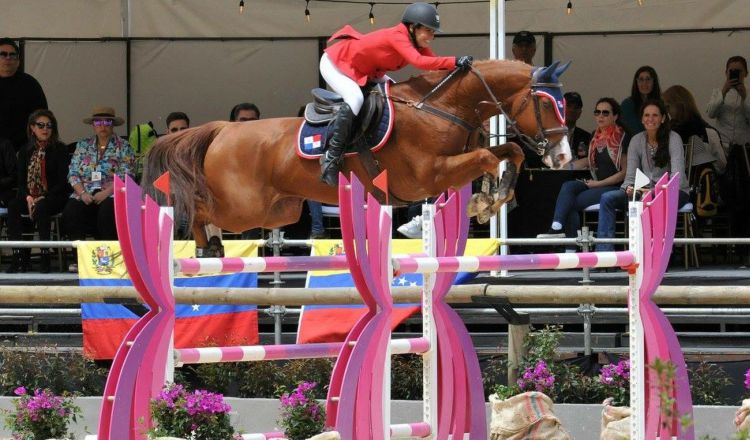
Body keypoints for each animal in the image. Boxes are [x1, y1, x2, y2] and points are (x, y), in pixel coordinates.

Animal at [144, 58, 572, 253]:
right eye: (546, 104)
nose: (564, 156)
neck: (441, 108)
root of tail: (224, 128)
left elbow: (508, 151)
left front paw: (488, 199)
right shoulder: (427, 175)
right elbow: (485, 158)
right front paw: (484, 202)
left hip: (279, 210)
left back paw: (210, 245)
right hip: (244, 206)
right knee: (197, 204)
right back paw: (204, 242)